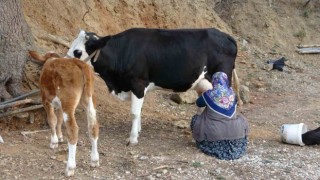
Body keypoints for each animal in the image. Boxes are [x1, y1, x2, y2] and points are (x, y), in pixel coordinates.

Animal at [67, 28, 240, 146]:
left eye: (77, 52)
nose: (65, 65)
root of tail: (225, 35)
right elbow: (140, 111)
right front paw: (138, 130)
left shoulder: (138, 83)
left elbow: (134, 112)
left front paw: (132, 138)